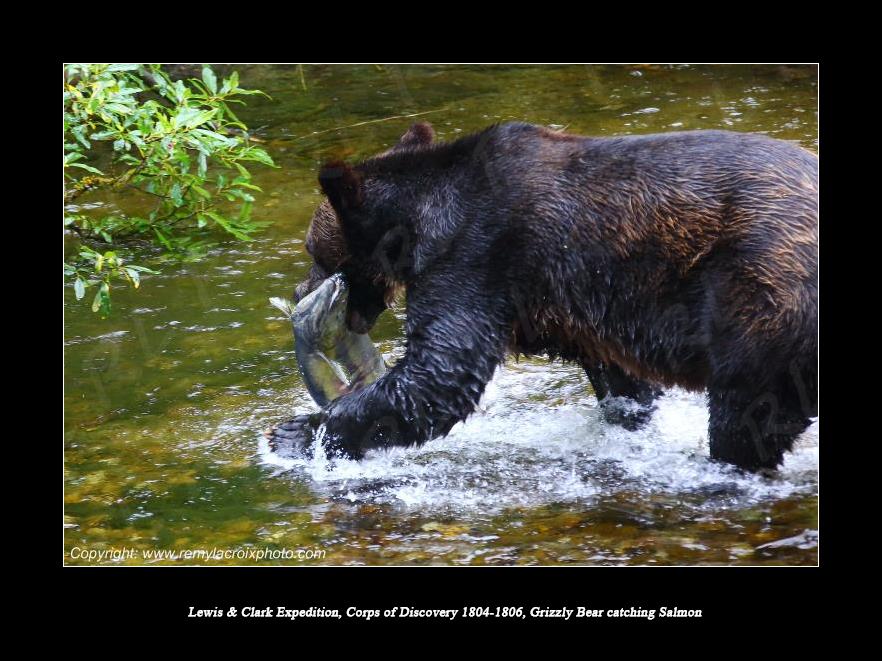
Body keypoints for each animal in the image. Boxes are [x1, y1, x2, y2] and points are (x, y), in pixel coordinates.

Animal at [267, 121, 818, 472]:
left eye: (314, 251)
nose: (299, 289)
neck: (420, 226)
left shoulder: (478, 256)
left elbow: (438, 372)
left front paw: (295, 434)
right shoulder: (573, 304)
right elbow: (624, 384)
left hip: (760, 290)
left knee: (746, 410)